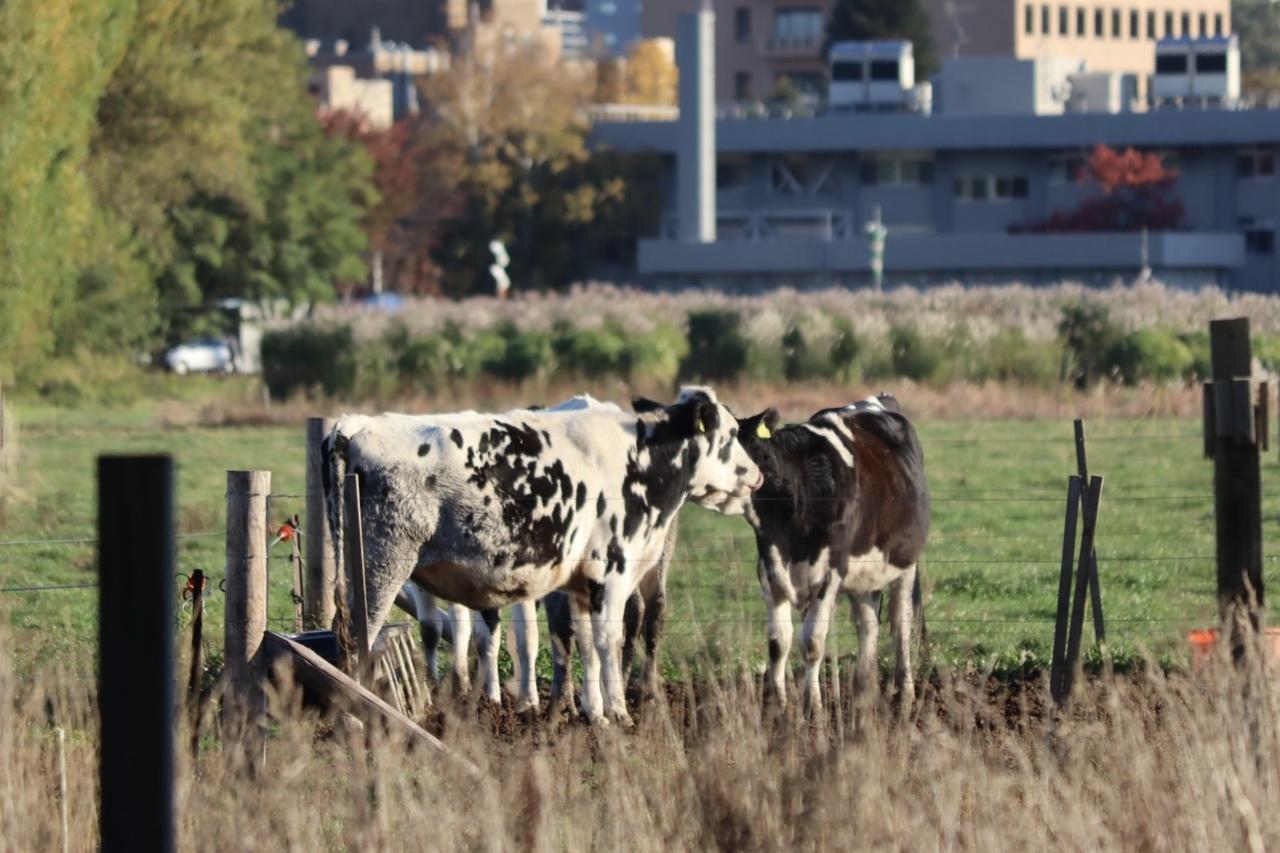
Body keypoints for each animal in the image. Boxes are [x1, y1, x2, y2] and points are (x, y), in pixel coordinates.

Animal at [322, 387, 762, 725]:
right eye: (731, 433)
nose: (757, 475)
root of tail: (356, 424)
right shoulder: (611, 573)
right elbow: (608, 641)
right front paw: (620, 714)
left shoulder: (582, 584)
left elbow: (586, 644)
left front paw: (596, 714)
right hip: (381, 565)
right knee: (361, 637)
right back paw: (357, 714)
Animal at [734, 394, 929, 711]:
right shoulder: (770, 570)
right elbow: (779, 643)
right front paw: (778, 705)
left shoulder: (829, 573)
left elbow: (812, 642)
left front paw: (812, 705)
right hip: (865, 574)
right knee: (868, 624)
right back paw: (864, 691)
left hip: (905, 563)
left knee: (901, 624)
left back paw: (905, 695)